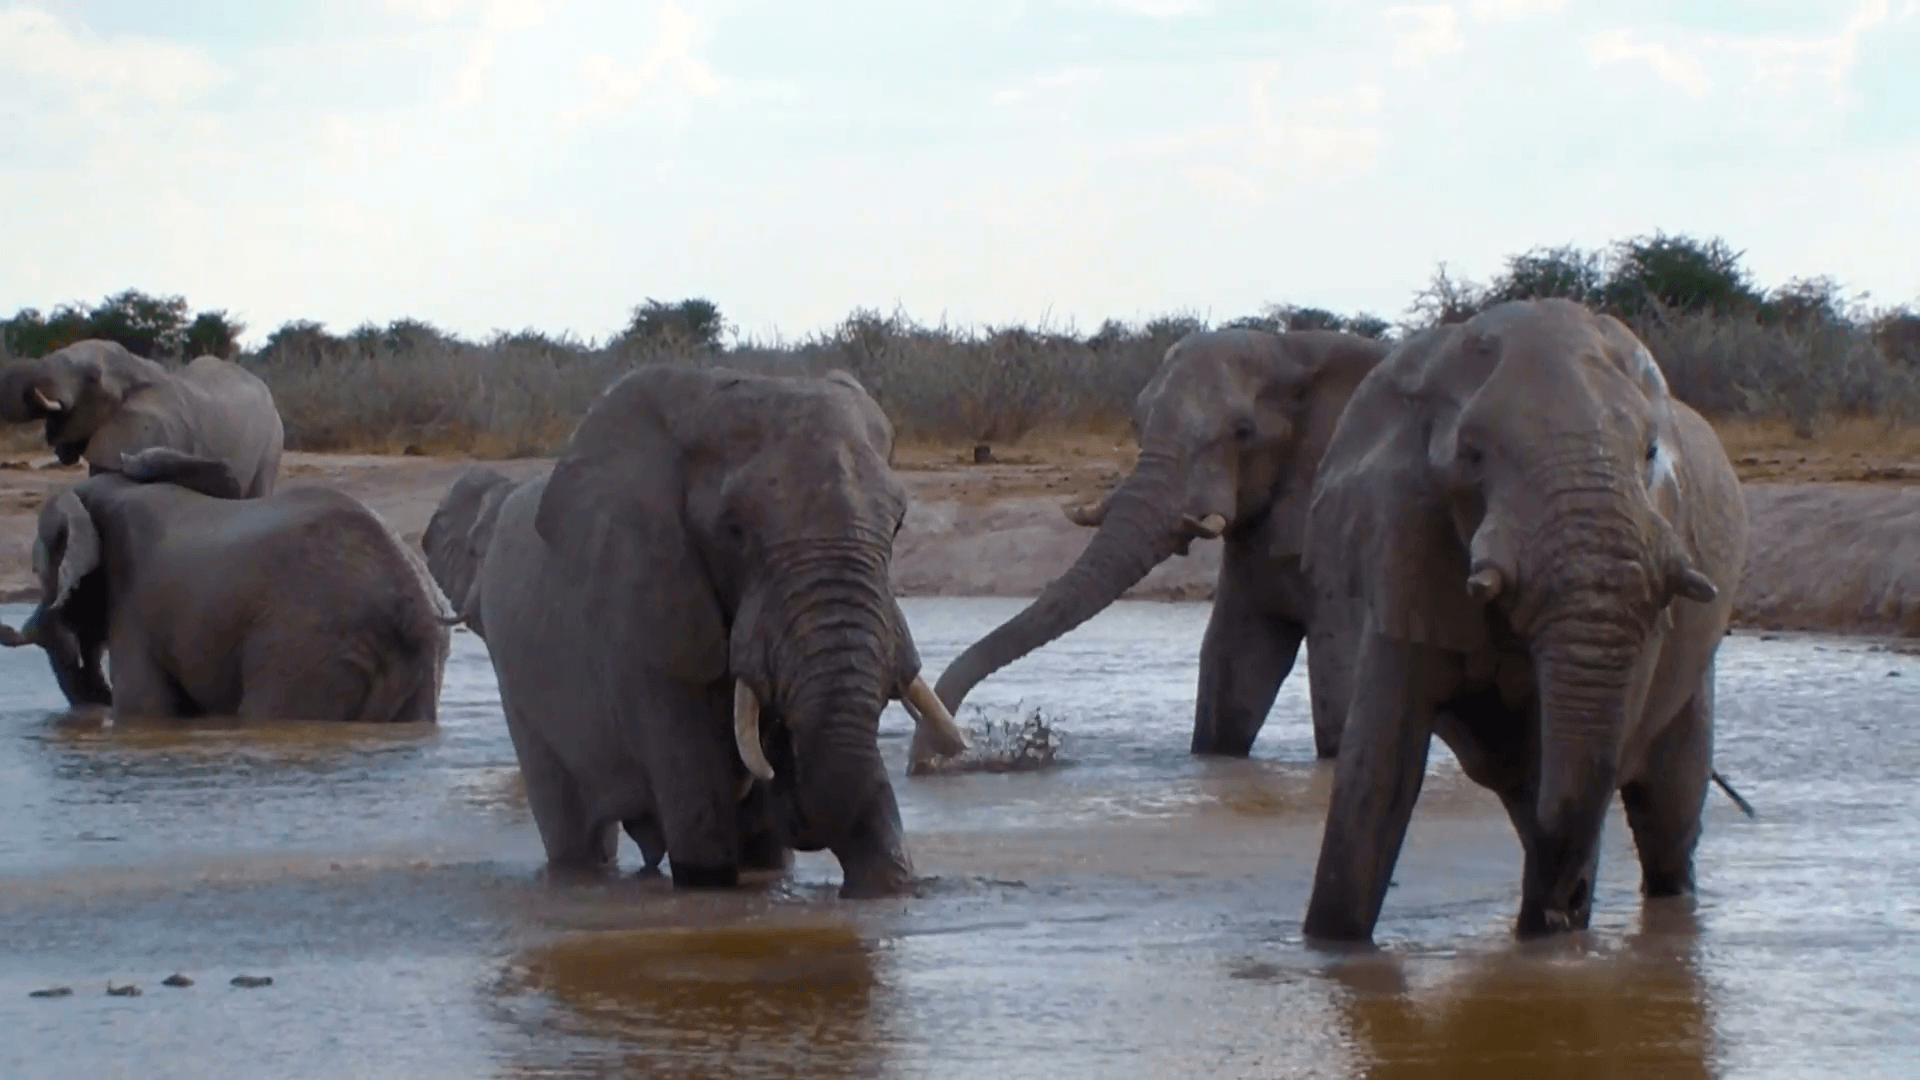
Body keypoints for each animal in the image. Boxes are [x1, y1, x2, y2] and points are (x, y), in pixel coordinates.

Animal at [430, 365, 983, 895]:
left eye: (898, 524)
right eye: (733, 531)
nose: (781, 770)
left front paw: (885, 883)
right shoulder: (645, 623)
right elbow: (703, 832)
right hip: (520, 689)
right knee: (575, 835)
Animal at [925, 328, 1382, 757]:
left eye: (1243, 432)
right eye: (1136, 424)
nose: (936, 755)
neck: (1294, 349)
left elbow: (1340, 683)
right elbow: (1232, 668)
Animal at [1297, 297, 1751, 937]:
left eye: (1650, 454)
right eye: (1472, 456)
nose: (1567, 910)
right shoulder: (1403, 538)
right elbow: (1377, 775)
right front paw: (1331, 949)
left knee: (1668, 806)